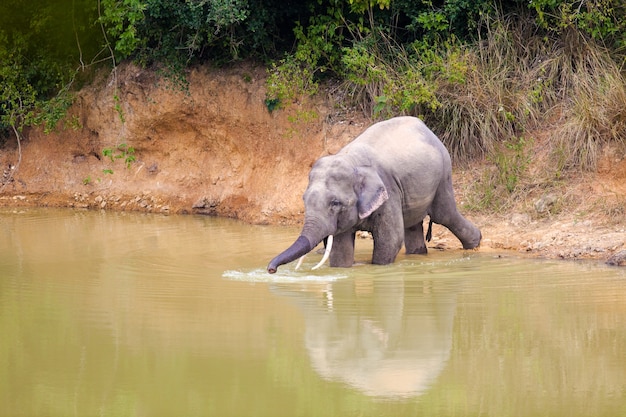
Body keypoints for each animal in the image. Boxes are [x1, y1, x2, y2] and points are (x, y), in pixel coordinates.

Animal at [266, 117, 480, 272]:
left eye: (335, 203)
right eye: (304, 200)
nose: (271, 270)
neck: (351, 161)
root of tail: (426, 127)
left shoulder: (388, 189)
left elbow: (390, 240)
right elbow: (341, 247)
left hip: (444, 174)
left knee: (444, 214)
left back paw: (475, 243)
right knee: (413, 224)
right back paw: (418, 255)